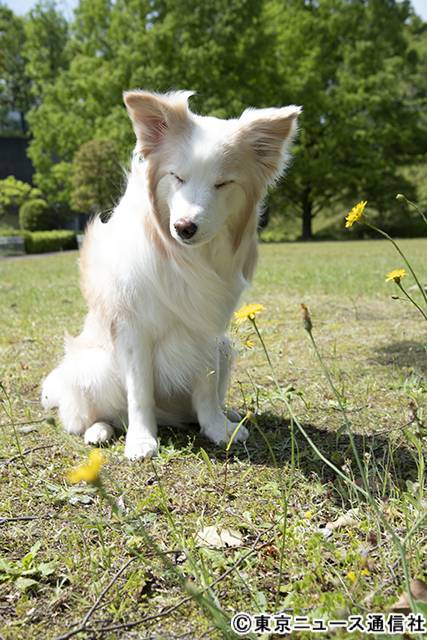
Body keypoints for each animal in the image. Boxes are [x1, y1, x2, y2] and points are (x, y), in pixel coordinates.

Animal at [41, 91, 300, 460]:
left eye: (222, 183)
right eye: (177, 177)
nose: (184, 227)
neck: (187, 258)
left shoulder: (206, 329)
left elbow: (206, 387)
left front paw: (217, 428)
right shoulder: (133, 332)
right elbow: (139, 395)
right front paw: (141, 441)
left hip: (226, 348)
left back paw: (227, 413)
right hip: (92, 367)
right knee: (97, 415)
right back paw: (99, 430)